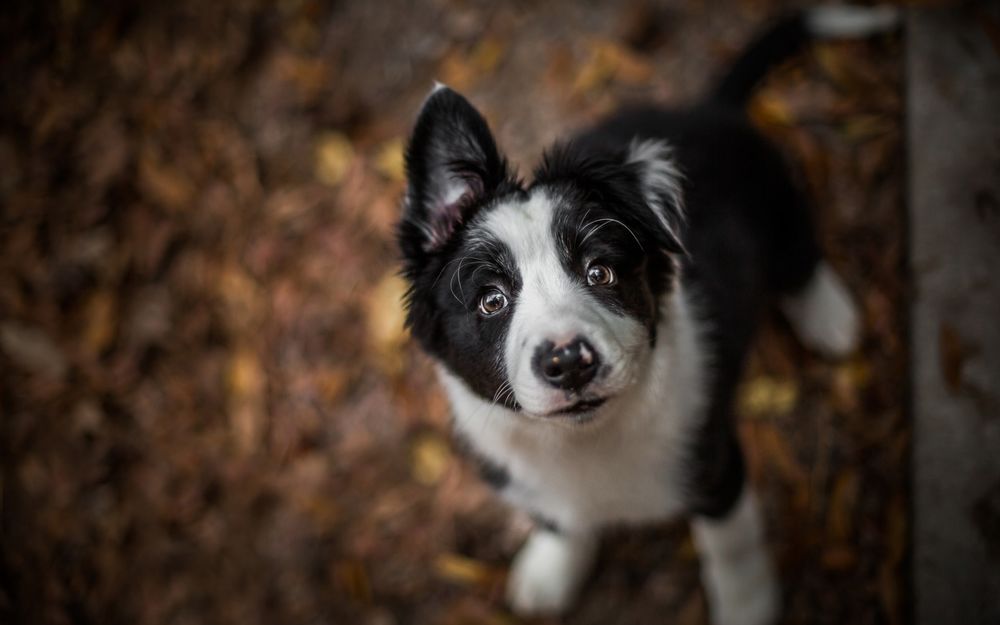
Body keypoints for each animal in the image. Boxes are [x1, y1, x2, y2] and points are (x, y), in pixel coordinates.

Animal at [394, 6, 896, 624]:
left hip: (778, 201)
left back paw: (830, 316)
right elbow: (558, 520)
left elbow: (732, 549)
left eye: (600, 273)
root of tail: (707, 108)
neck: (586, 441)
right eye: (492, 300)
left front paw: (748, 608)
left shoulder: (715, 463)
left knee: (801, 254)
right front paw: (551, 571)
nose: (568, 362)